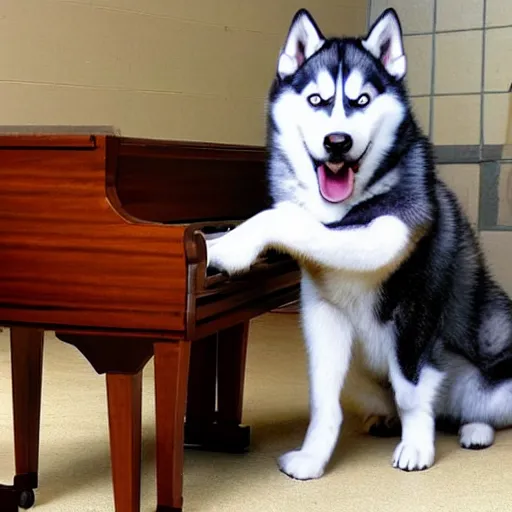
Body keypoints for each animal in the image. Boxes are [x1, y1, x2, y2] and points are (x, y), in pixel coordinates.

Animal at [206, 8, 512, 478]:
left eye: (362, 100)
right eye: (317, 100)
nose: (337, 142)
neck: (346, 210)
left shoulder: (399, 256)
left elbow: (411, 392)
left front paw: (416, 448)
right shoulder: (323, 313)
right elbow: (323, 401)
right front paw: (313, 457)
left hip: (494, 376)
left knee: (475, 410)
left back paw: (474, 429)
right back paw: (388, 420)